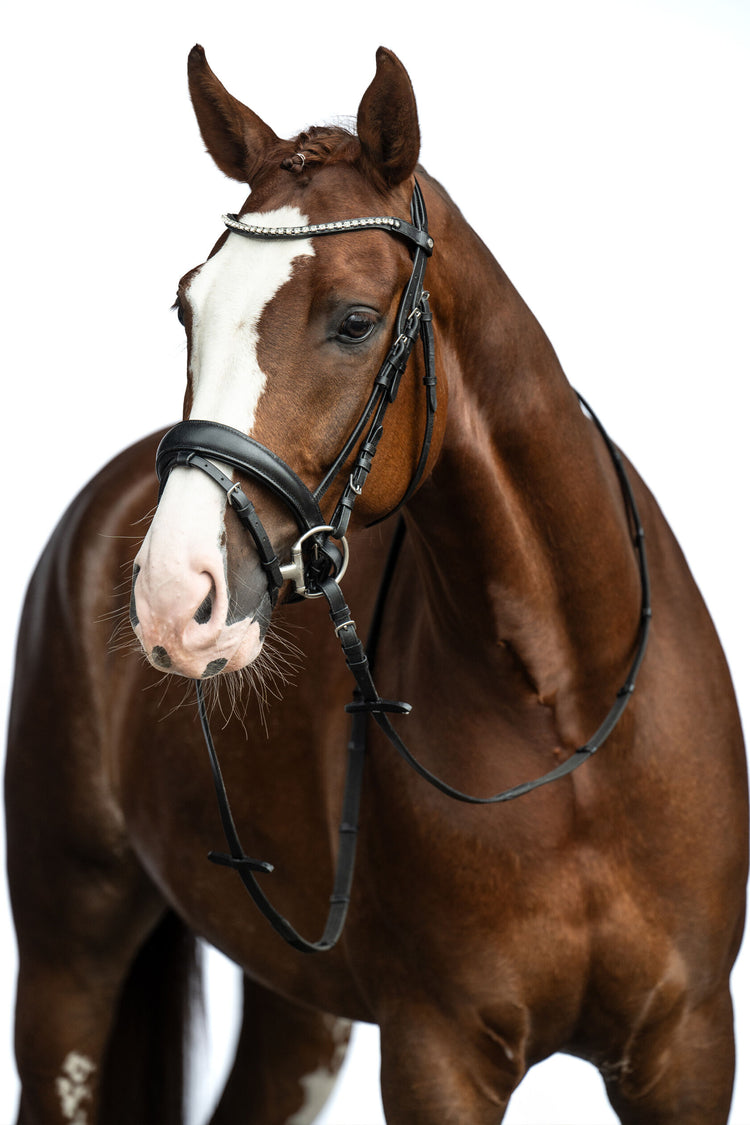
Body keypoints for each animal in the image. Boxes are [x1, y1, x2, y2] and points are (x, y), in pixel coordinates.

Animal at [6, 43, 747, 1125]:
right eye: (188, 305)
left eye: (356, 322)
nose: (173, 596)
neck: (566, 722)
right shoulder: (438, 1051)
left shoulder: (687, 1047)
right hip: (67, 962)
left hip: (297, 1005)